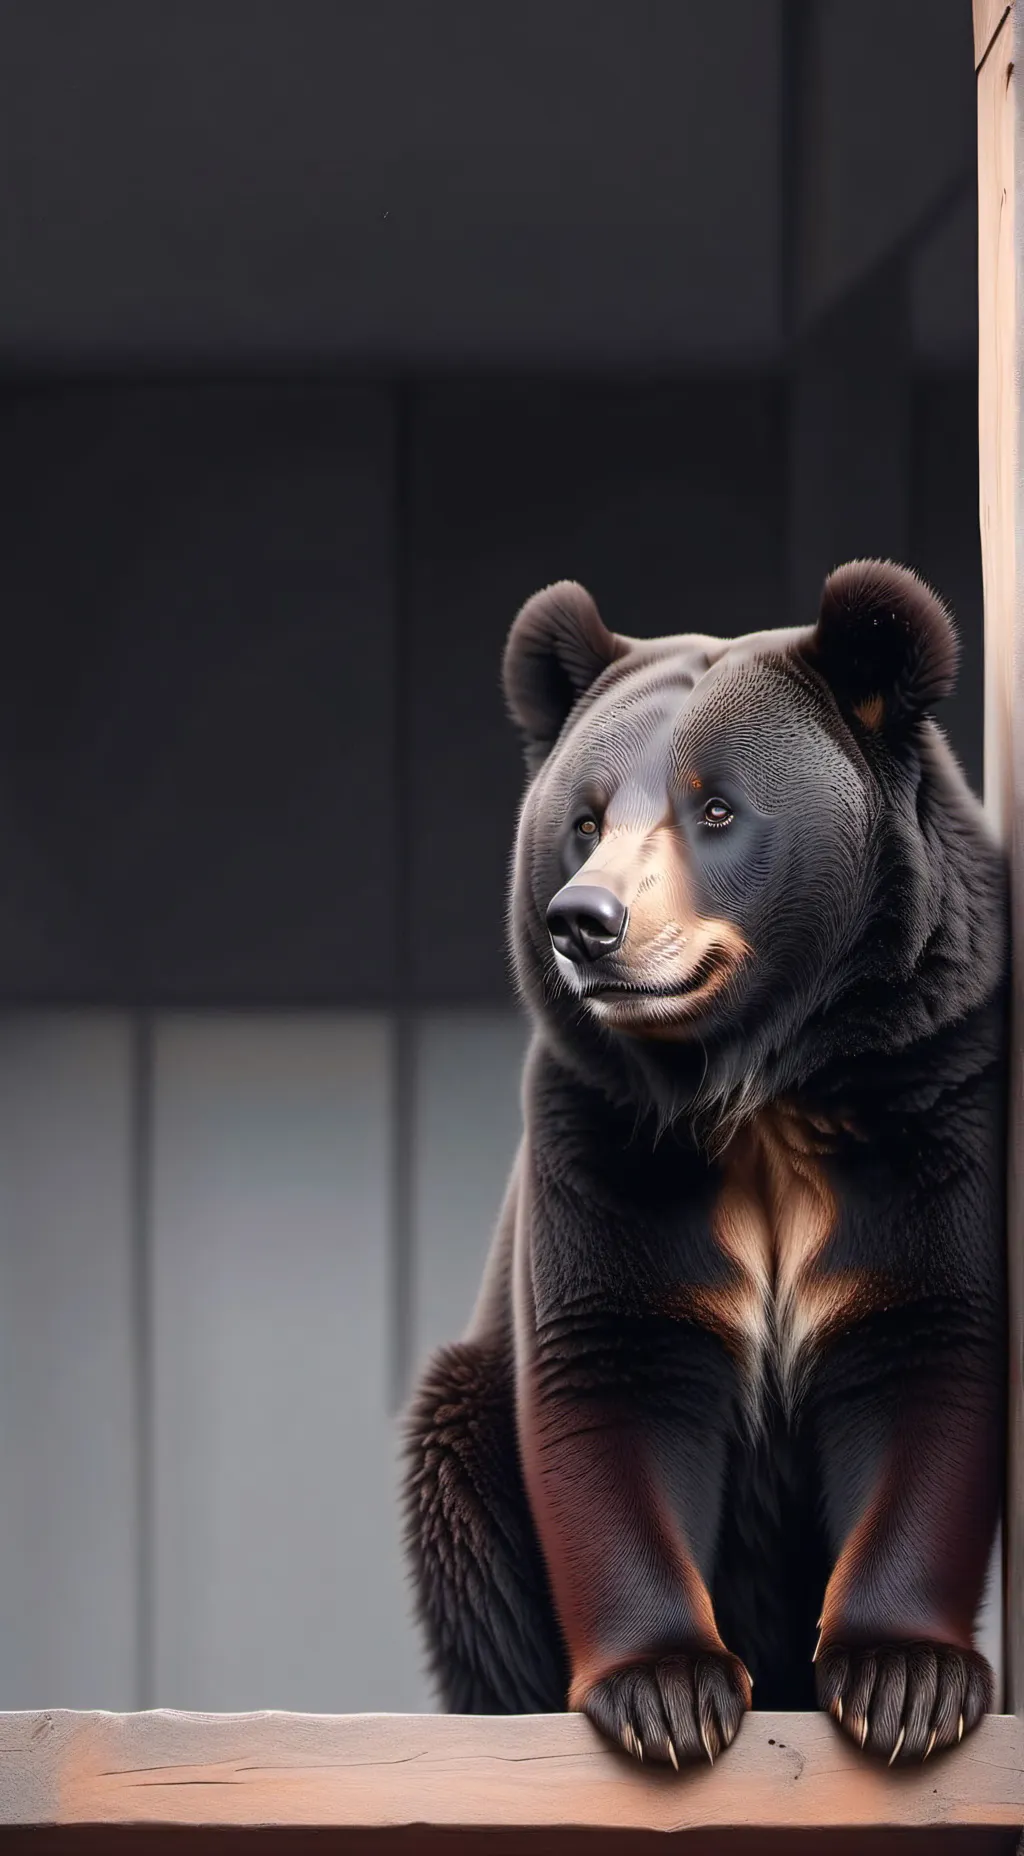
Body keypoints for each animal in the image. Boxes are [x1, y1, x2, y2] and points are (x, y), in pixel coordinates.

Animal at [403, 559, 1007, 1768]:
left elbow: (928, 1349)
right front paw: (668, 1693)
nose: (585, 920)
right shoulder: (600, 1133)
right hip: (464, 1424)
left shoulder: (933, 1098)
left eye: (715, 807)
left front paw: (905, 1682)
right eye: (584, 819)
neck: (756, 1088)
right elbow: (612, 1368)